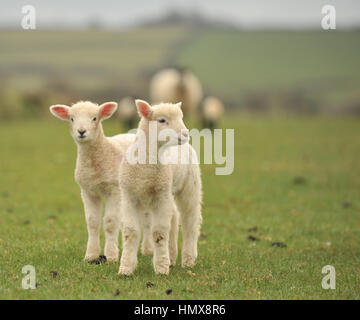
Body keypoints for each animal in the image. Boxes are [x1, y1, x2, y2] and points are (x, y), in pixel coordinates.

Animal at [48, 101, 140, 264]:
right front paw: (91, 255)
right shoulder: (87, 191)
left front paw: (111, 256)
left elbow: (110, 222)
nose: (81, 131)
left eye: (94, 118)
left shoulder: (114, 190)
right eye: (72, 118)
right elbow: (92, 222)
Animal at [118, 99, 202, 276]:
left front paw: (161, 268)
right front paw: (126, 268)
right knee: (175, 216)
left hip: (190, 186)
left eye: (181, 117)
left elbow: (159, 233)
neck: (146, 168)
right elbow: (131, 232)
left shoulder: (161, 197)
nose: (185, 134)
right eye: (162, 120)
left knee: (190, 222)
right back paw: (172, 256)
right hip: (168, 190)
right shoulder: (129, 197)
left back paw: (188, 259)